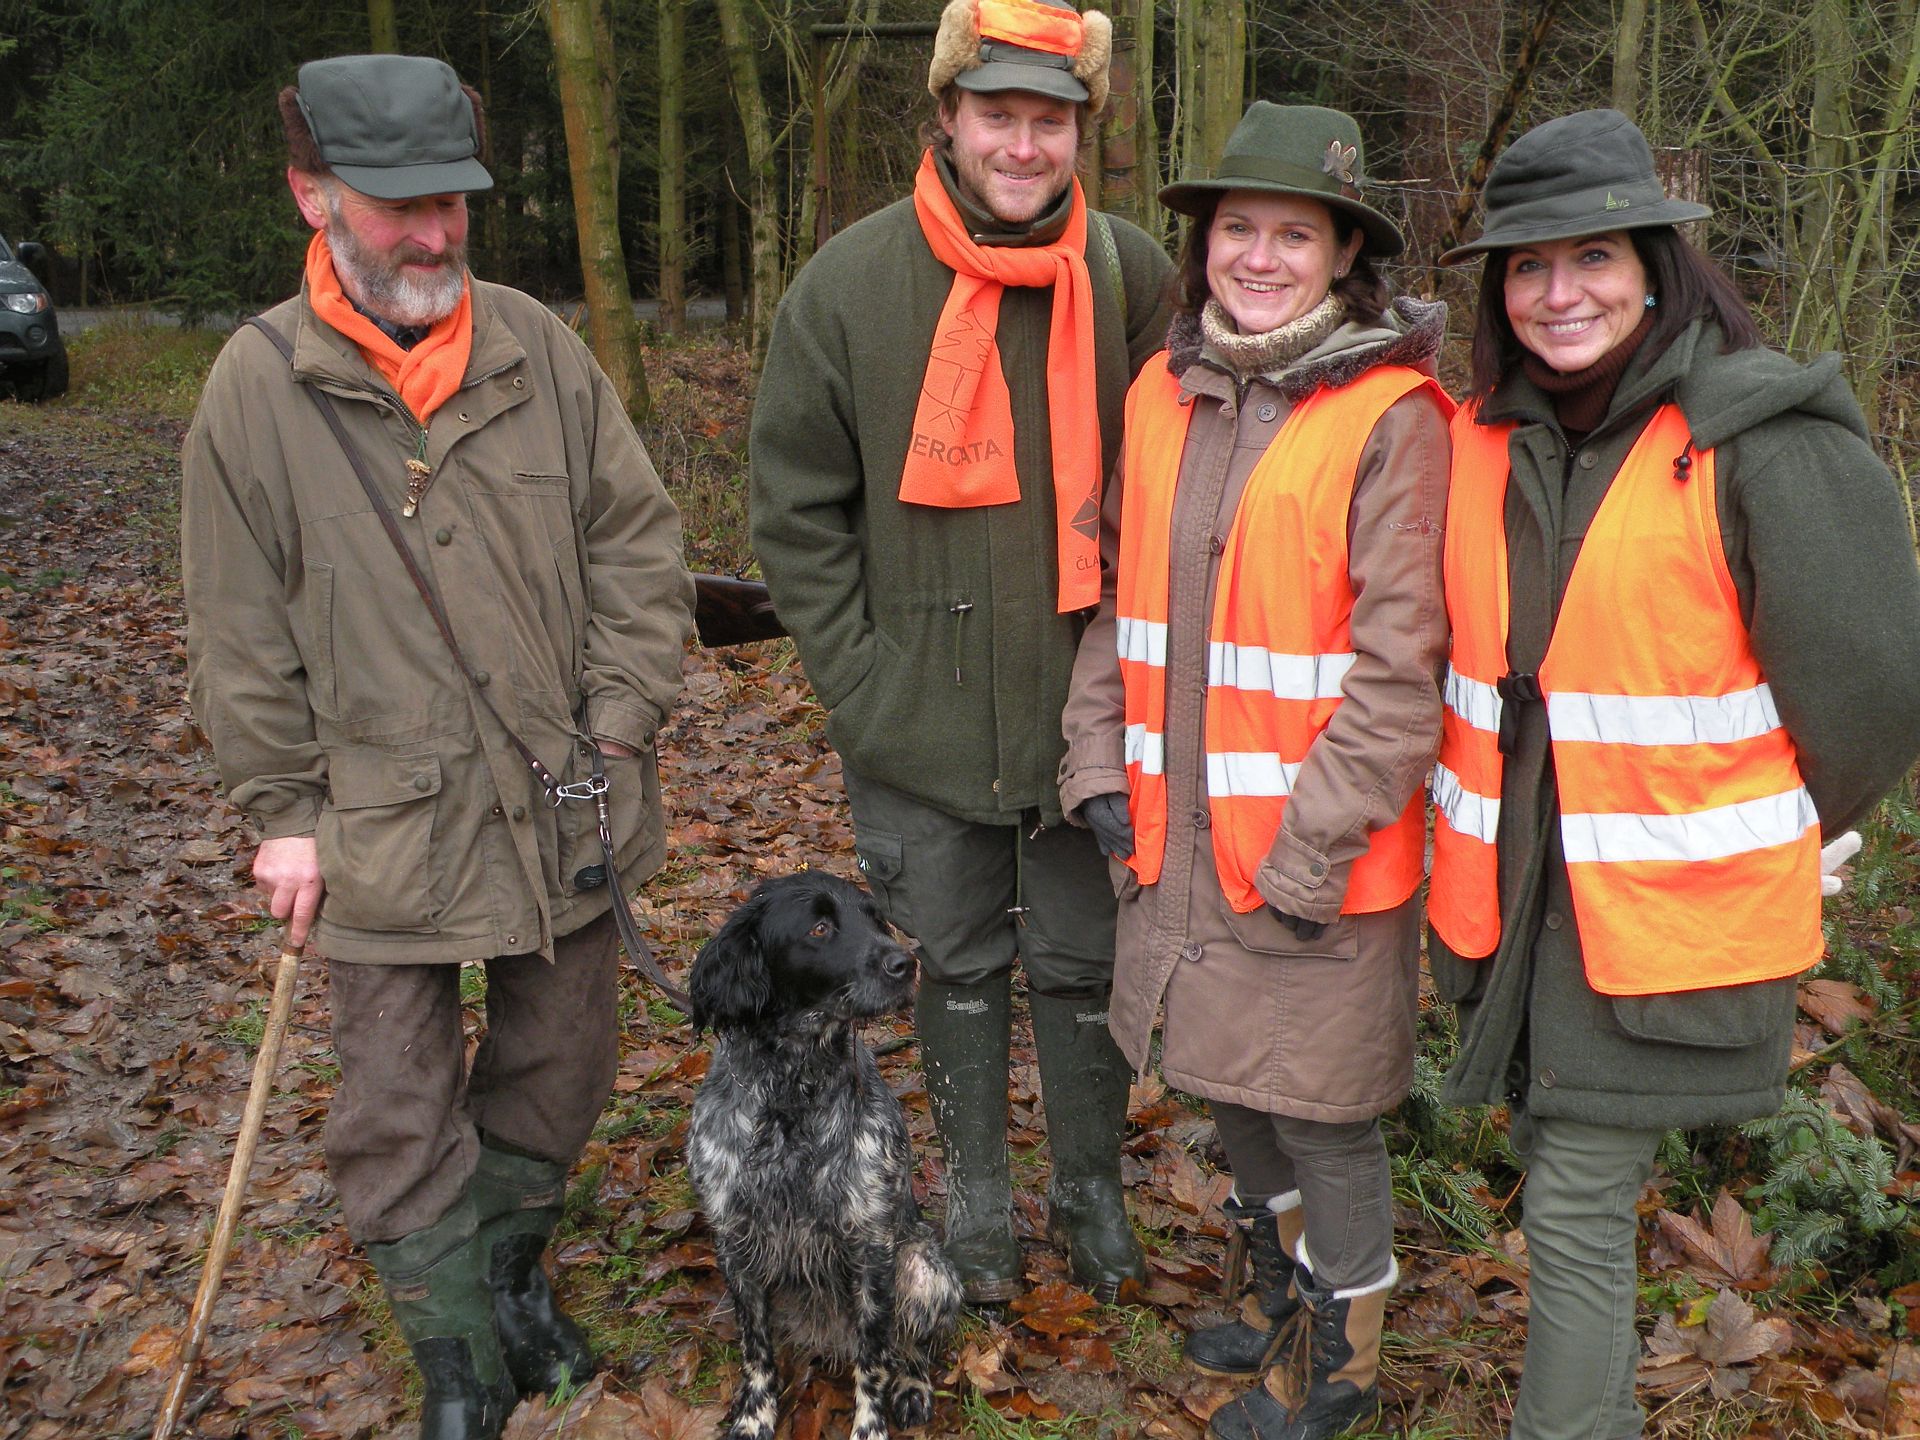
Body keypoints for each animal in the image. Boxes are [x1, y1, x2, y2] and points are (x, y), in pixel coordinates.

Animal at [687, 872, 962, 1440]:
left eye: (877, 919)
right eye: (819, 927)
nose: (905, 963)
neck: (793, 1091)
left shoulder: (872, 1247)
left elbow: (873, 1362)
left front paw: (869, 1427)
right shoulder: (734, 1242)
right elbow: (756, 1350)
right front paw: (754, 1414)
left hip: (927, 1272)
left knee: (910, 1348)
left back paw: (913, 1387)